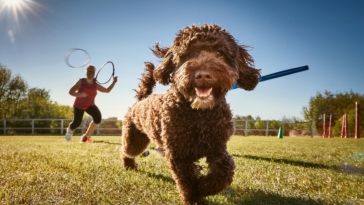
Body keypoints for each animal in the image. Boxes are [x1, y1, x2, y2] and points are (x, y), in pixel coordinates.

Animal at [121, 23, 260, 203]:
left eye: (219, 53)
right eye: (190, 54)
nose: (203, 75)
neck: (199, 115)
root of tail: (141, 100)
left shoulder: (217, 146)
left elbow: (225, 170)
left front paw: (204, 187)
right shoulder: (178, 154)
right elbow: (186, 181)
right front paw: (195, 197)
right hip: (135, 139)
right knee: (126, 150)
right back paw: (128, 165)